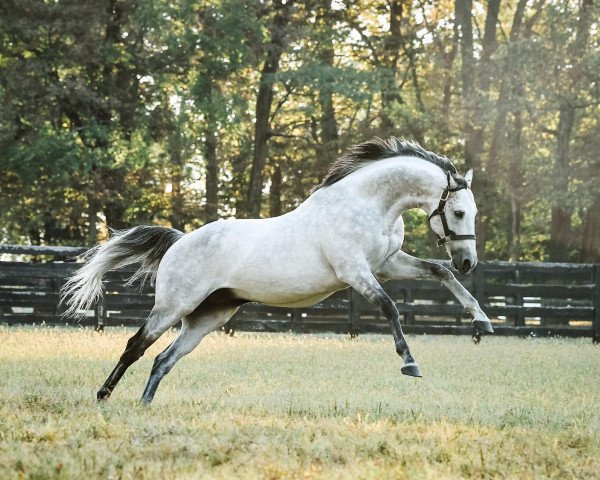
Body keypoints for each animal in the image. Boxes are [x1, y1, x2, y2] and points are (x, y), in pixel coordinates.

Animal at [61, 137, 492, 404]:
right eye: (457, 212)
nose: (468, 261)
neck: (366, 204)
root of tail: (180, 241)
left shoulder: (387, 265)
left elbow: (439, 272)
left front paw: (482, 322)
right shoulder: (356, 272)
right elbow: (390, 308)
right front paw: (409, 363)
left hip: (208, 317)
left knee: (163, 359)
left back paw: (145, 403)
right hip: (173, 306)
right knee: (136, 345)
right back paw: (103, 395)